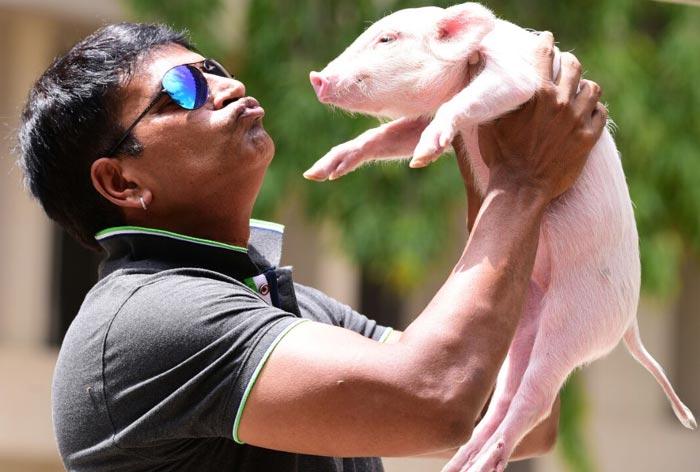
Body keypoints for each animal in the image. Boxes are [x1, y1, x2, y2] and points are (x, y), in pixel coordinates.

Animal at [304, 3, 697, 472]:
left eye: (388, 38)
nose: (316, 77)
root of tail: (630, 321)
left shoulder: (516, 74)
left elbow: (465, 102)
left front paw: (425, 151)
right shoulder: (419, 117)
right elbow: (388, 135)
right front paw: (321, 170)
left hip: (577, 318)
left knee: (537, 397)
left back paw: (485, 460)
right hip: (527, 318)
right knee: (505, 394)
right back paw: (461, 462)